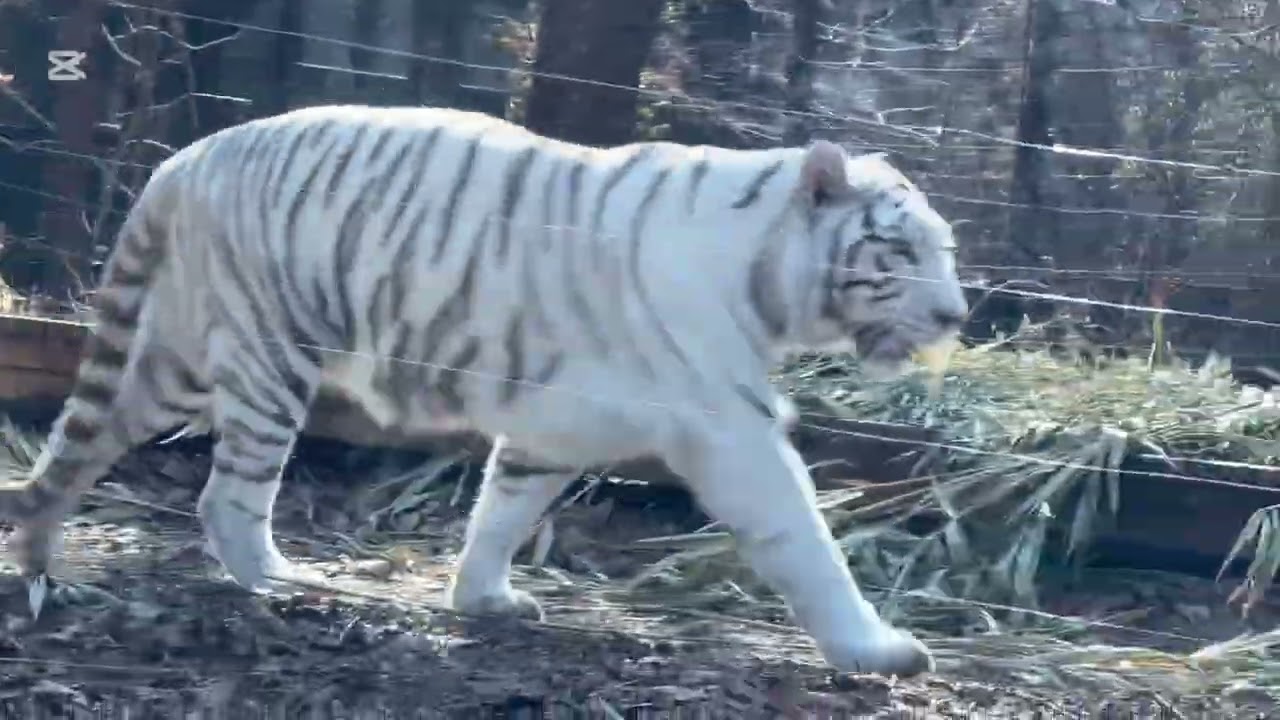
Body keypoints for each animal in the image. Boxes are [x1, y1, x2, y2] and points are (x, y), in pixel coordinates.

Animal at [0, 105, 966, 678]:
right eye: (902, 250)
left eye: (947, 248)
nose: (957, 315)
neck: (769, 273)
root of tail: (184, 158)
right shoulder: (731, 427)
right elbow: (805, 537)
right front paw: (878, 649)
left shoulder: (556, 423)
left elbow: (505, 507)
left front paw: (483, 599)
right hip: (269, 355)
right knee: (226, 495)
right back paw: (282, 579)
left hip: (178, 357)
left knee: (86, 435)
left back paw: (40, 551)